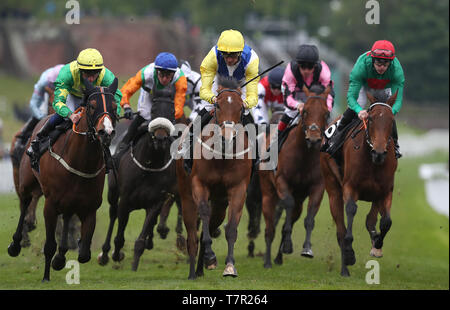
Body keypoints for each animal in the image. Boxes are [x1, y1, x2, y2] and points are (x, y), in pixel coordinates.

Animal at [7, 78, 119, 282]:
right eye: (92, 106)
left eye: (115, 106)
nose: (106, 132)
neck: (80, 161)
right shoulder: (50, 205)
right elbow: (49, 245)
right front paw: (46, 276)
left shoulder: (89, 208)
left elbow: (84, 254)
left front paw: (62, 257)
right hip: (26, 181)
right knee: (25, 203)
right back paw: (17, 243)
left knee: (66, 215)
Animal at [98, 95, 181, 272]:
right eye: (154, 109)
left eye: (172, 111)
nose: (160, 138)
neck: (149, 166)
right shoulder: (125, 201)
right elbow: (119, 235)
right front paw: (116, 254)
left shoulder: (156, 203)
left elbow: (142, 237)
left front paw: (135, 265)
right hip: (113, 192)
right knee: (113, 214)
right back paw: (105, 253)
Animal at [176, 77, 253, 278]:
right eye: (217, 105)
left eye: (241, 107)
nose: (227, 138)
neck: (222, 156)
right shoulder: (199, 184)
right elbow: (203, 212)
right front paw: (210, 255)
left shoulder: (238, 189)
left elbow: (231, 227)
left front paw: (229, 266)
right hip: (186, 197)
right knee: (192, 235)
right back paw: (193, 272)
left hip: (220, 204)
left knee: (210, 226)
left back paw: (202, 267)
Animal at [260, 85, 330, 268]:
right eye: (305, 111)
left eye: (326, 113)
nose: (313, 139)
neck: (304, 156)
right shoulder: (282, 181)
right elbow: (287, 207)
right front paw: (288, 244)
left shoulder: (318, 186)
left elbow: (309, 218)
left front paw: (306, 248)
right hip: (268, 194)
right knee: (270, 228)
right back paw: (267, 261)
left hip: (299, 200)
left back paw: (278, 257)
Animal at [320, 89, 398, 276]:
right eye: (370, 119)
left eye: (391, 120)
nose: (379, 153)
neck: (371, 160)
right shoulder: (350, 187)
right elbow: (350, 210)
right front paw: (349, 253)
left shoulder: (385, 190)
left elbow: (385, 221)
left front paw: (377, 244)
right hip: (332, 188)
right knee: (340, 229)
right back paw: (344, 267)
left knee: (370, 219)